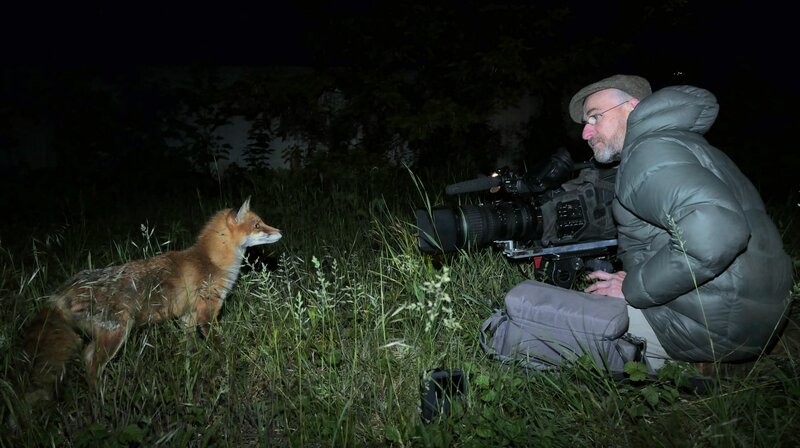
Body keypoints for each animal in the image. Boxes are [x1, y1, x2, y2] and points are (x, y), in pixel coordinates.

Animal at [17, 197, 281, 404]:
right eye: (258, 225)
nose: (280, 232)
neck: (211, 261)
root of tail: (63, 290)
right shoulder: (206, 316)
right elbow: (221, 347)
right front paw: (229, 365)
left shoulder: (187, 318)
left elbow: (189, 350)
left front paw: (191, 370)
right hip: (117, 334)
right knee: (91, 361)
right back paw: (100, 402)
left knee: (86, 357)